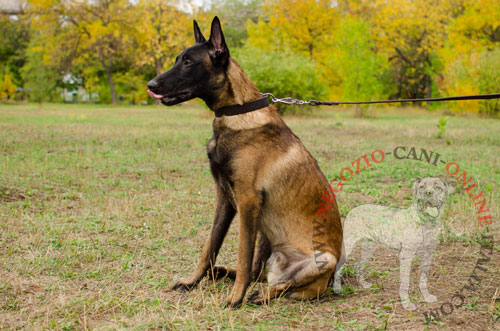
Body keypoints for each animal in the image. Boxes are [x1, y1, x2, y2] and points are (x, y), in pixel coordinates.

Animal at [146, 17, 344, 308]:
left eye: (188, 62)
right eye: (177, 59)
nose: (150, 85)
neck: (236, 112)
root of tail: (330, 281)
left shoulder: (247, 201)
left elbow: (242, 252)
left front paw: (234, 298)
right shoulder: (225, 199)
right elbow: (209, 246)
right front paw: (192, 282)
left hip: (321, 259)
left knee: (280, 284)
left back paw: (258, 294)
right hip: (266, 236)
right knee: (258, 272)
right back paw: (222, 273)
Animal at [334, 179, 456, 312]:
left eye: (438, 187)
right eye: (422, 187)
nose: (428, 193)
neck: (427, 223)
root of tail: (353, 209)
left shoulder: (428, 255)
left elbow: (423, 279)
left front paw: (426, 296)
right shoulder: (406, 256)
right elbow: (405, 282)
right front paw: (407, 304)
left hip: (368, 248)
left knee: (358, 264)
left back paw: (364, 284)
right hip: (348, 245)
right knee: (339, 266)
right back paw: (337, 289)